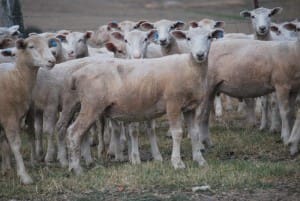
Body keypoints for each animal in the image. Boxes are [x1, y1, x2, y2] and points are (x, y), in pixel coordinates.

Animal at [0, 35, 55, 184]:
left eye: (47, 45)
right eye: (31, 47)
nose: (52, 61)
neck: (17, 79)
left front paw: (5, 169)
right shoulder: (9, 118)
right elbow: (15, 145)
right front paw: (24, 176)